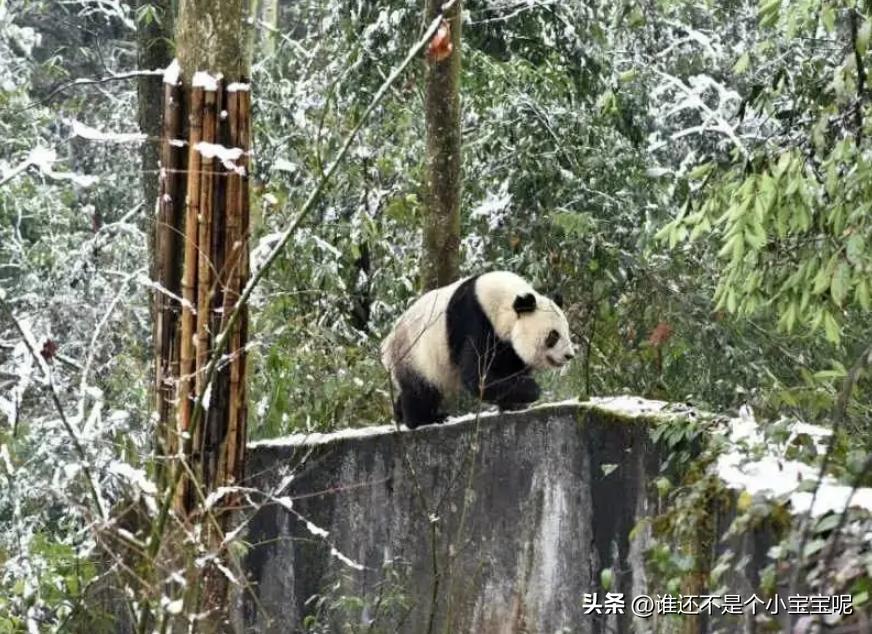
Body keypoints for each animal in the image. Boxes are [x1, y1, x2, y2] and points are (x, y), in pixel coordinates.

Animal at [380, 270, 572, 428]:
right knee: (421, 391)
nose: (569, 355)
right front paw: (531, 390)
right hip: (413, 352)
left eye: (566, 332)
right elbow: (477, 377)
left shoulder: (506, 344)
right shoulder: (475, 321)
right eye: (553, 336)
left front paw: (514, 404)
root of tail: (387, 344)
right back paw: (423, 419)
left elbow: (508, 367)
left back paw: (400, 414)